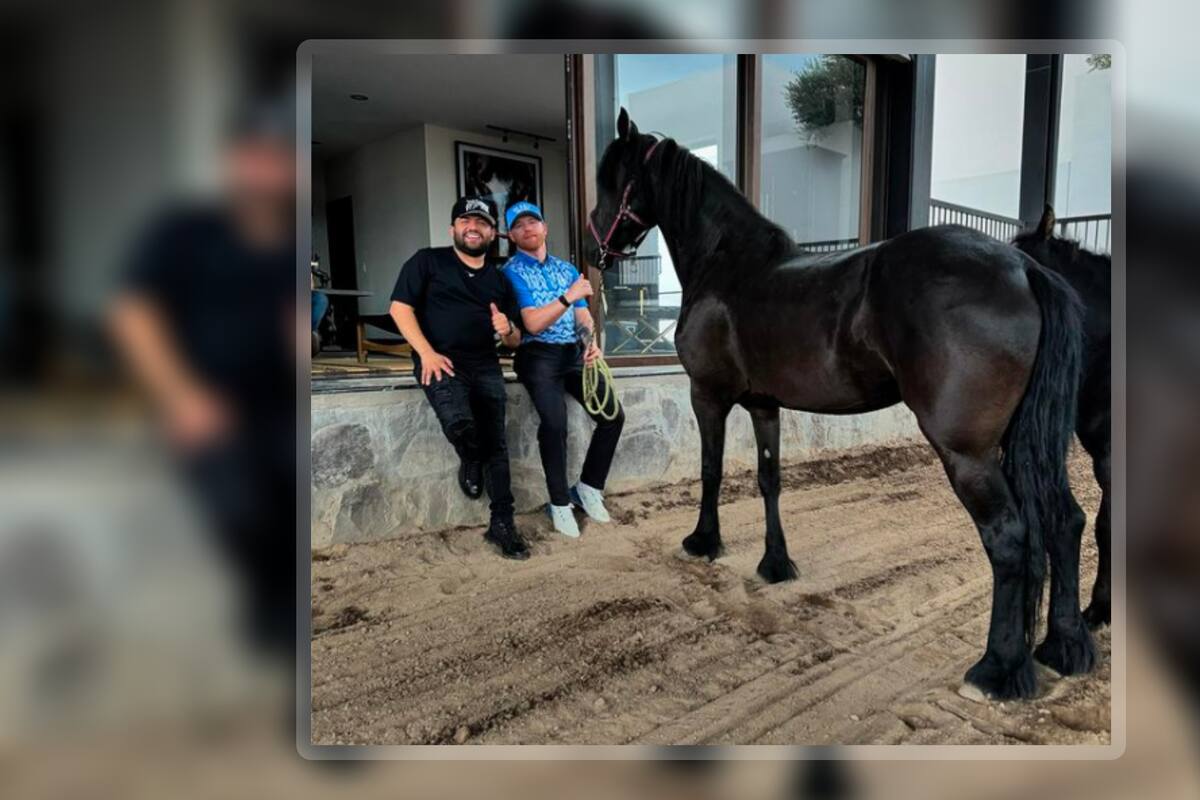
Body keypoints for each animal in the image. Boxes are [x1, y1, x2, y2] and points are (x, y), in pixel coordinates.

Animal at [586, 108, 1095, 699]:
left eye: (611, 178)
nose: (591, 248)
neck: (726, 267)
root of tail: (1022, 267)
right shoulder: (764, 405)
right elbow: (769, 479)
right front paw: (775, 564)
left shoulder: (707, 396)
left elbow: (711, 470)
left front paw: (703, 542)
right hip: (1026, 442)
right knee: (1065, 520)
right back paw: (1065, 648)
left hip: (968, 452)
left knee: (1010, 537)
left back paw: (996, 670)